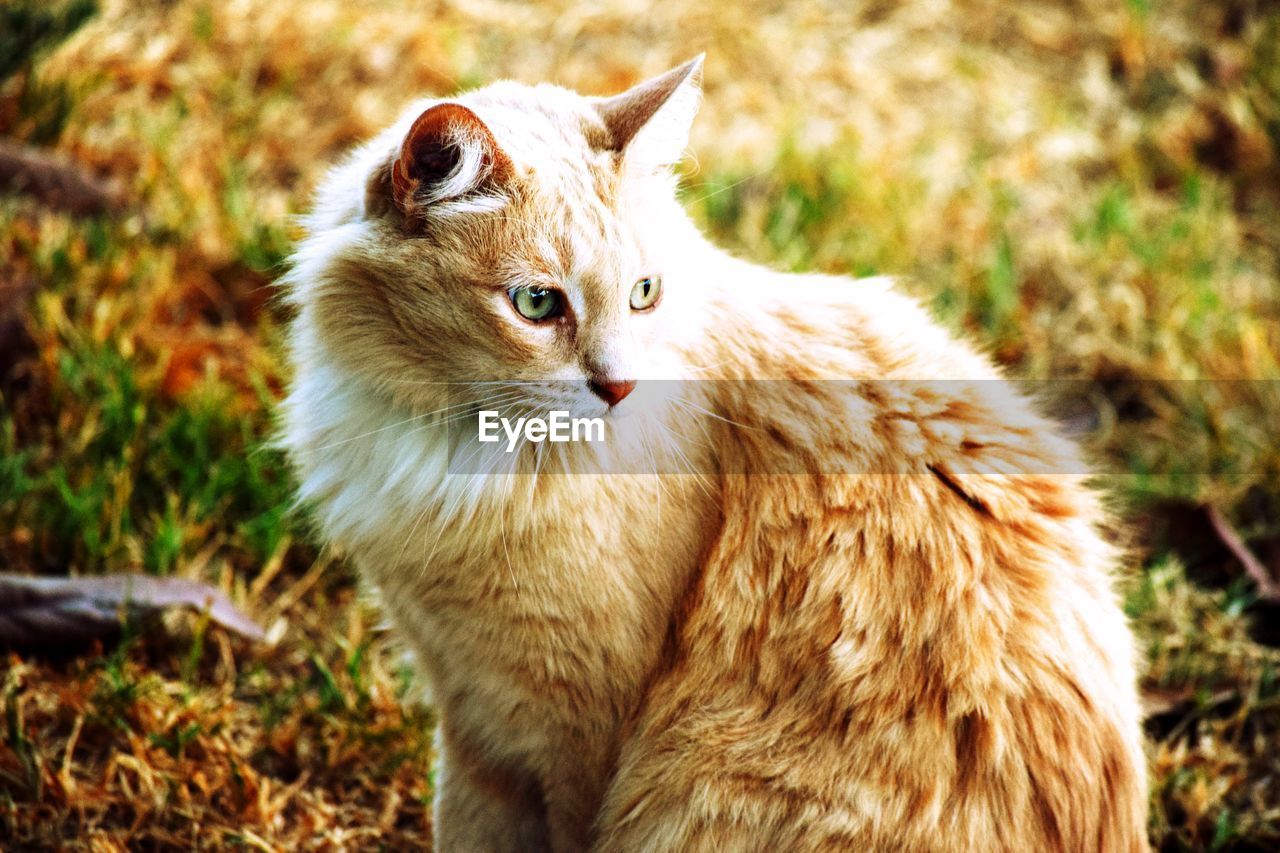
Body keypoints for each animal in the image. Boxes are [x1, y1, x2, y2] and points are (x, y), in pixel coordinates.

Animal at [277, 56, 1152, 845]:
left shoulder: (576, 730)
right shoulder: (472, 720)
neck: (460, 448)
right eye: (536, 303)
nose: (619, 386)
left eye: (644, 294)